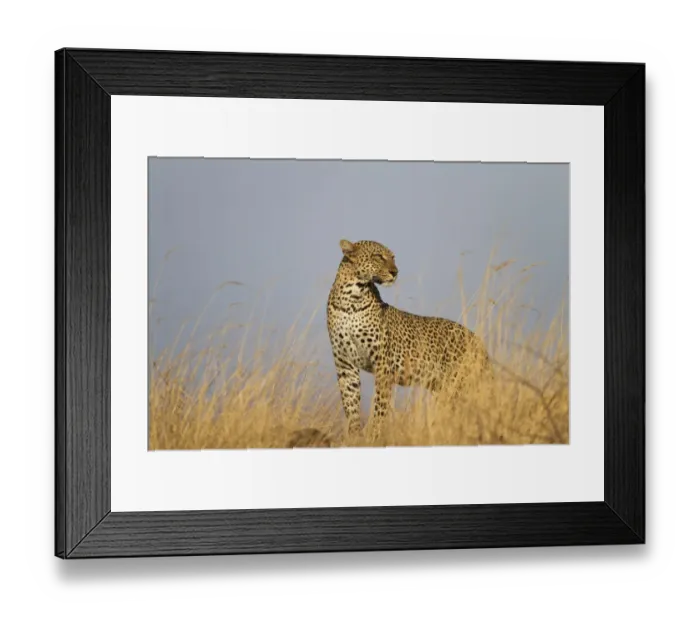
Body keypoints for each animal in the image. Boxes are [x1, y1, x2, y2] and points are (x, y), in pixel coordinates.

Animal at [326, 239, 491, 436]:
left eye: (393, 257)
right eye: (378, 256)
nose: (395, 272)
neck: (351, 298)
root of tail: (480, 344)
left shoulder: (382, 363)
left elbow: (380, 404)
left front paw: (375, 434)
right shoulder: (344, 364)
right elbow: (350, 405)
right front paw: (355, 435)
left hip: (461, 384)